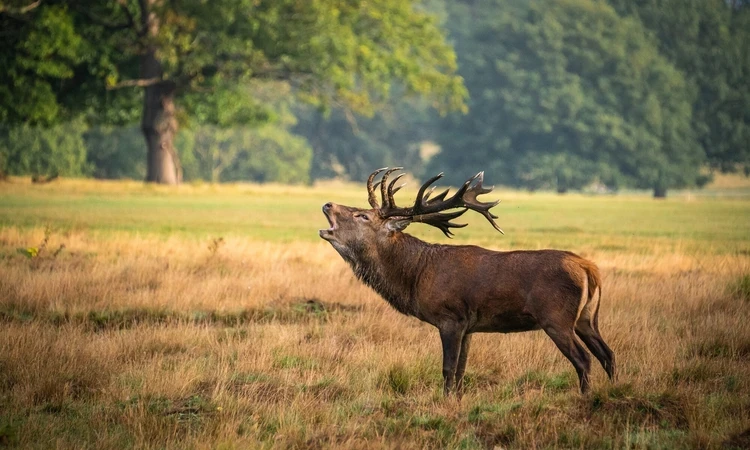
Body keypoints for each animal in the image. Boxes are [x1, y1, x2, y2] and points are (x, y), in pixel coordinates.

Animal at [319, 168, 615, 395]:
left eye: (362, 216)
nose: (327, 204)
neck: (415, 276)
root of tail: (589, 269)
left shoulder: (451, 317)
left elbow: (448, 369)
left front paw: (445, 401)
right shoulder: (471, 326)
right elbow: (462, 370)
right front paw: (458, 400)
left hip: (556, 317)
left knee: (584, 359)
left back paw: (585, 397)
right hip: (587, 318)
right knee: (607, 354)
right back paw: (613, 390)